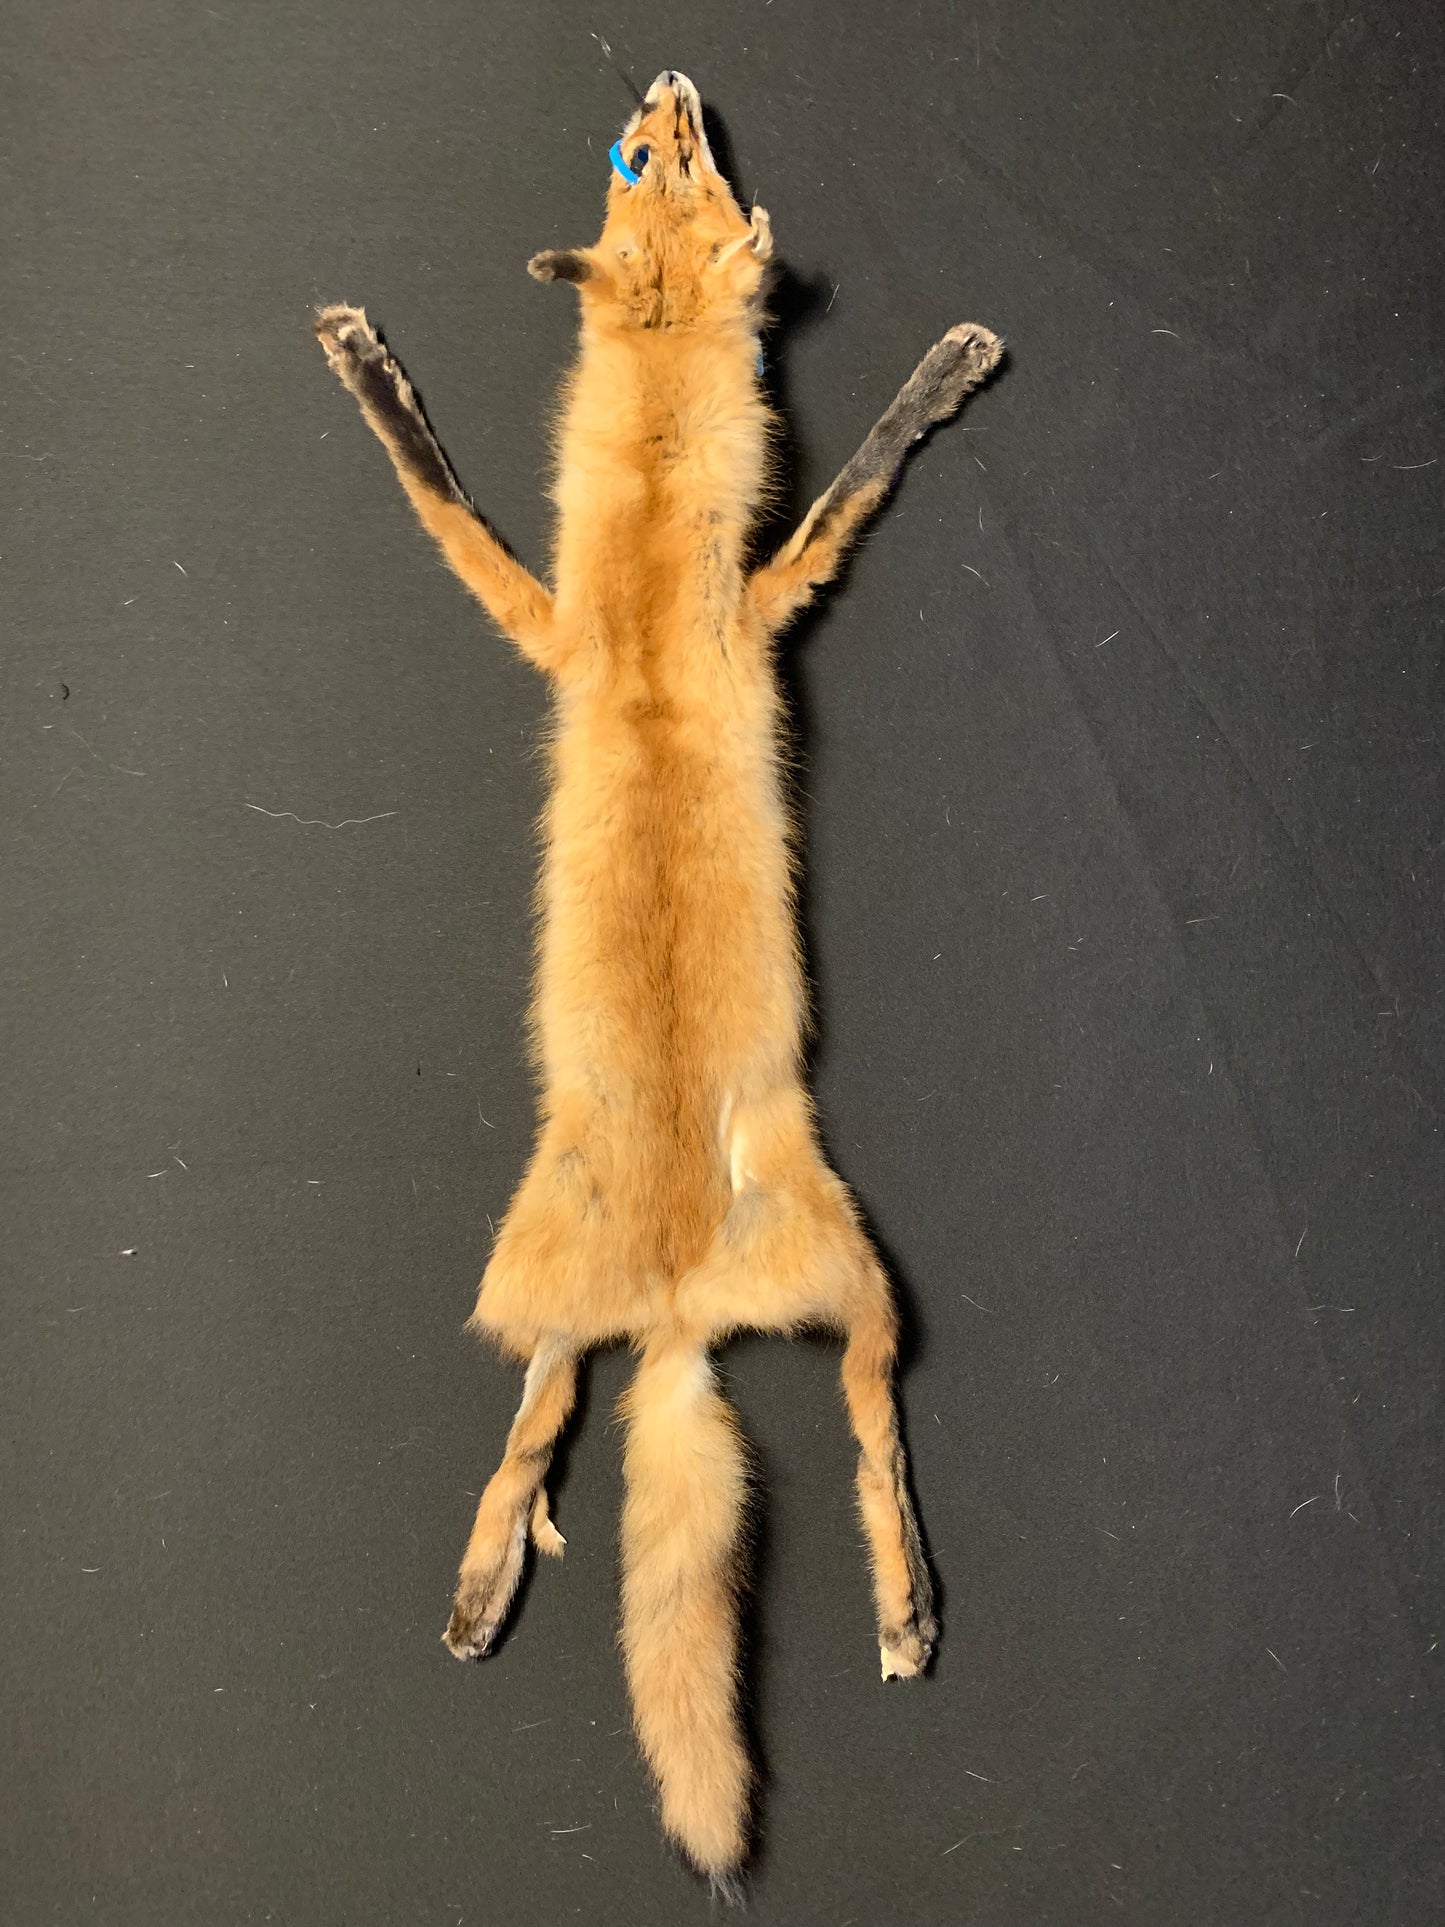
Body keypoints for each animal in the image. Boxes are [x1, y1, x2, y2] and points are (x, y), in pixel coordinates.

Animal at [314, 69, 1002, 1888]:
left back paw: (888, 1595)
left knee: (841, 1405)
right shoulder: (585, 615)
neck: (636, 623)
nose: (669, 84)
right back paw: (507, 1570)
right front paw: (365, 363)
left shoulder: (718, 608)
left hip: (822, 1262)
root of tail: (688, 1300)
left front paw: (937, 372)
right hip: (596, 1260)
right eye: (641, 162)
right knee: (567, 1399)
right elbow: (444, 494)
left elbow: (843, 483)